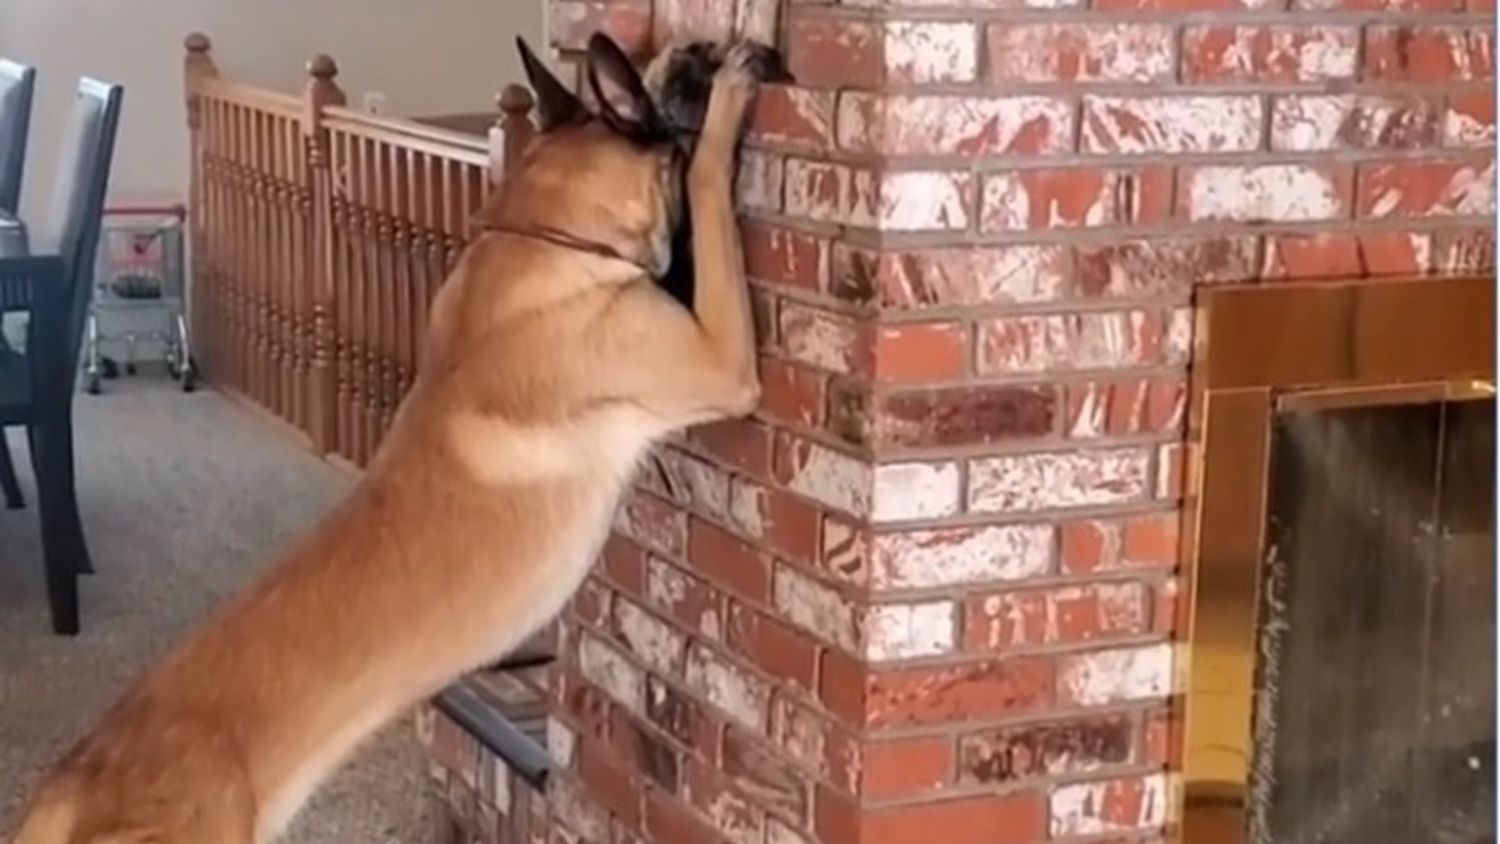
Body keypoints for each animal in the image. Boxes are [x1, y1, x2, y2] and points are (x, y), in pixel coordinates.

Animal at [11, 32, 780, 844]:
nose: (696, 53)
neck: (544, 232)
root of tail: (69, 783)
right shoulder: (723, 360)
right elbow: (705, 183)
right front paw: (725, 103)